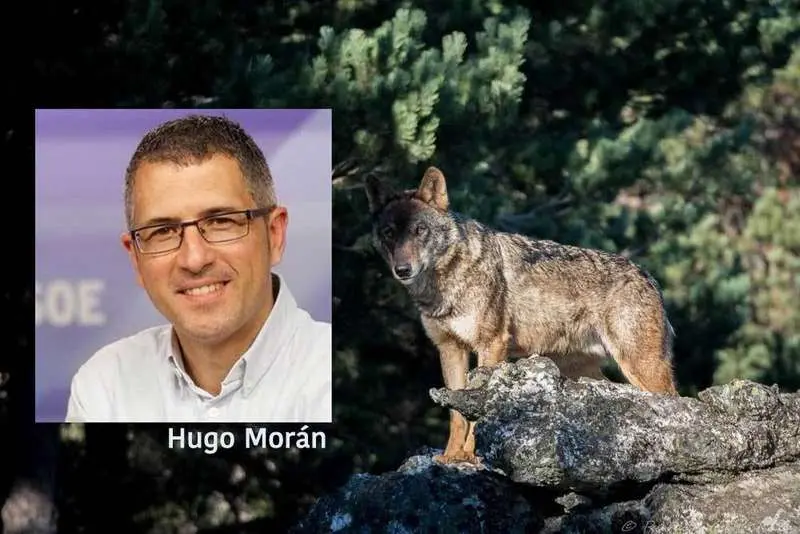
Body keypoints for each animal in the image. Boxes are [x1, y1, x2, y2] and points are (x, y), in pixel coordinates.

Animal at [364, 167, 678, 465]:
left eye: (420, 230)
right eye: (389, 233)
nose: (402, 270)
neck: (445, 285)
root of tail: (650, 278)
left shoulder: (492, 344)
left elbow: (479, 413)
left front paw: (473, 456)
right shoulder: (450, 349)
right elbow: (457, 414)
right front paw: (452, 457)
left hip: (641, 369)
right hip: (586, 375)